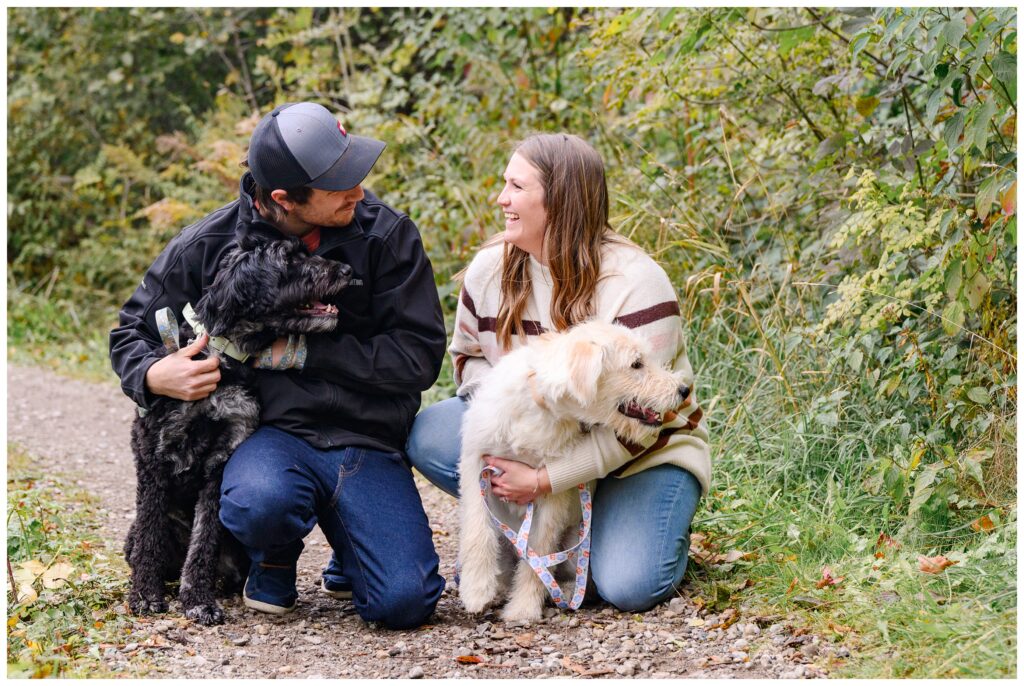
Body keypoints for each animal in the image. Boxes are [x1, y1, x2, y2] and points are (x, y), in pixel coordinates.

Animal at [460, 323, 692, 622]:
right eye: (636, 364)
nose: (684, 389)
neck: (540, 408)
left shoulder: (550, 493)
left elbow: (539, 550)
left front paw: (523, 607)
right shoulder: (475, 464)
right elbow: (477, 530)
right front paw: (476, 590)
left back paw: (565, 592)